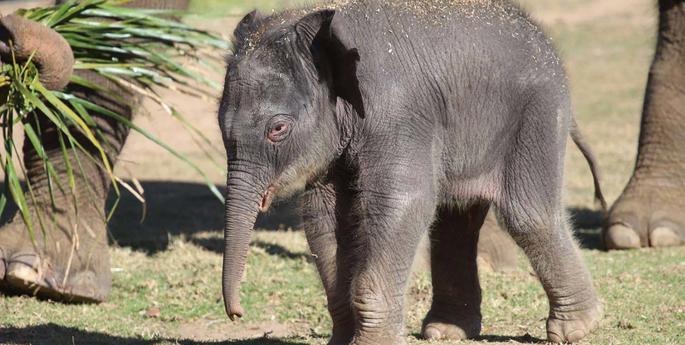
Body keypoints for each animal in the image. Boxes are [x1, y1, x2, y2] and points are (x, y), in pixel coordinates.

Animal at [216, 1, 600, 342]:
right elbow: (322, 214)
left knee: (527, 214)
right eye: (220, 125)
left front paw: (371, 342)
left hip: (537, 113)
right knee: (456, 219)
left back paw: (575, 330)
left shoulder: (397, 111)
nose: (237, 314)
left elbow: (403, 202)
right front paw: (342, 339)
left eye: (277, 129)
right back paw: (445, 331)